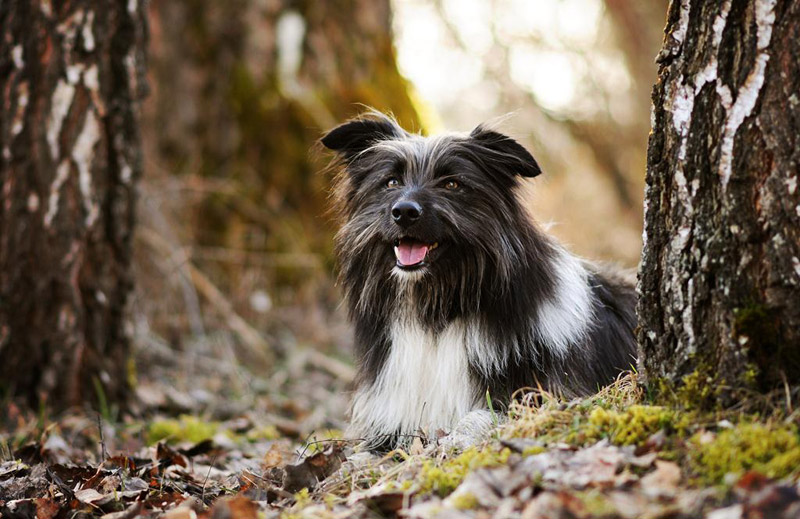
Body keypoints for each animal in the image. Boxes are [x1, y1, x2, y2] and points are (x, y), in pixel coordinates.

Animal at [320, 110, 636, 450]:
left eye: (452, 183)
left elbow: (482, 416)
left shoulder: (551, 393)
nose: (403, 212)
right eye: (391, 182)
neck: (442, 307)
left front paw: (455, 440)